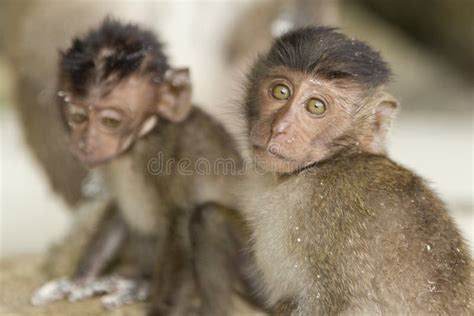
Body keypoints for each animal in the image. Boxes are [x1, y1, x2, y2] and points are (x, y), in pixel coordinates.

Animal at [31, 19, 246, 314]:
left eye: (110, 122)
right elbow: (119, 212)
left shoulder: (170, 157)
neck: (141, 141)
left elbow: (179, 225)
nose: (86, 143)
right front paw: (79, 279)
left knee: (206, 218)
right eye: (78, 117)